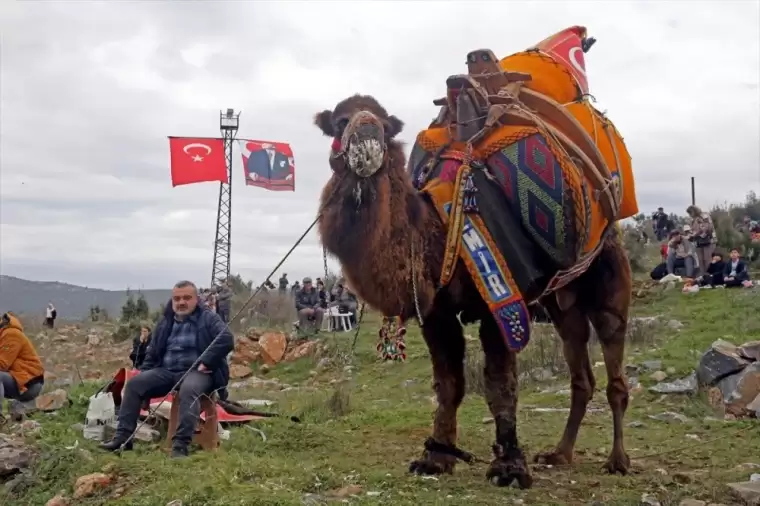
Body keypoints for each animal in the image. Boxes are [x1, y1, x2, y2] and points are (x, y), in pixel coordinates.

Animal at [314, 28, 636, 490]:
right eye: (340, 122)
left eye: (384, 122)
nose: (367, 138)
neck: (435, 235)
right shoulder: (435, 312)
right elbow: (449, 383)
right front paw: (436, 456)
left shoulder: (501, 302)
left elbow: (499, 383)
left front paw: (509, 466)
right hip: (562, 303)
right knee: (581, 376)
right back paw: (559, 453)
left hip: (608, 278)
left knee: (614, 373)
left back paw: (618, 459)